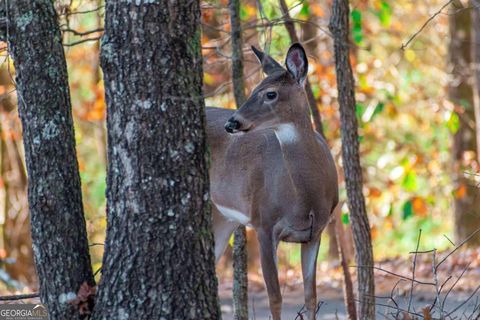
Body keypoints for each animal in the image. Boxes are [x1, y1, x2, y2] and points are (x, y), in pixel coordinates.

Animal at [205, 43, 338, 320]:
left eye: (270, 94)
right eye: (254, 88)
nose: (232, 123)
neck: (306, 198)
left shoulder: (316, 232)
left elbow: (311, 297)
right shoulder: (263, 223)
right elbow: (275, 298)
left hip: (223, 217)